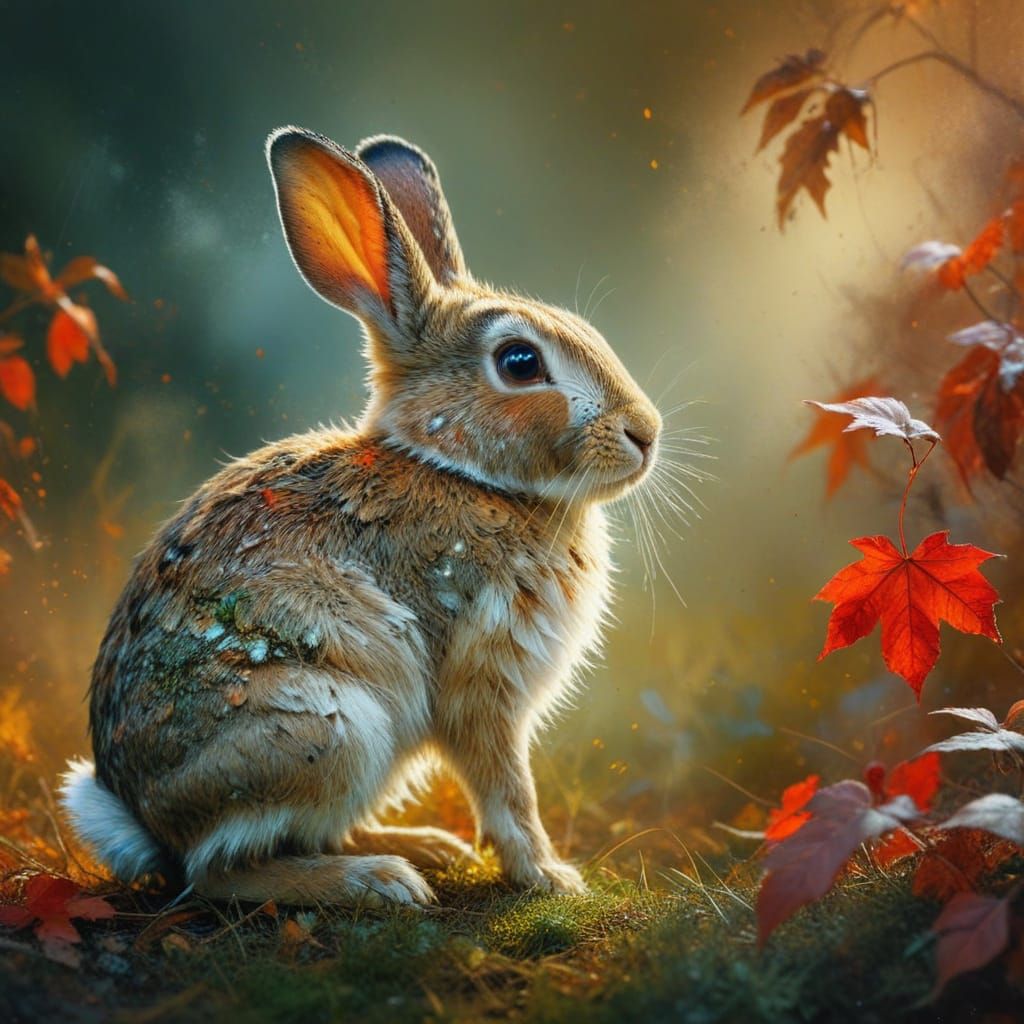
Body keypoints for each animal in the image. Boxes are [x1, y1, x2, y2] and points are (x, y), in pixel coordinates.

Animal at [60, 127, 662, 907]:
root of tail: (145, 819)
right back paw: (380, 880)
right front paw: (551, 878)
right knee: (220, 871)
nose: (645, 434)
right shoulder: (483, 679)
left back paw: (423, 848)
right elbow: (507, 789)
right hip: (329, 725)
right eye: (520, 362)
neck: (461, 471)